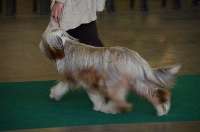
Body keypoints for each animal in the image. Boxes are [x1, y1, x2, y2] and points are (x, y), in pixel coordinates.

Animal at [39, 27, 181, 115]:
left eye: (43, 39)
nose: (39, 43)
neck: (66, 46)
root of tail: (135, 58)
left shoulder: (86, 80)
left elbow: (94, 95)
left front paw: (99, 106)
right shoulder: (73, 77)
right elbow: (64, 85)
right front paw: (55, 94)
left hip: (112, 83)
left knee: (121, 102)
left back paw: (109, 108)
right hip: (138, 82)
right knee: (157, 92)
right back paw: (162, 109)